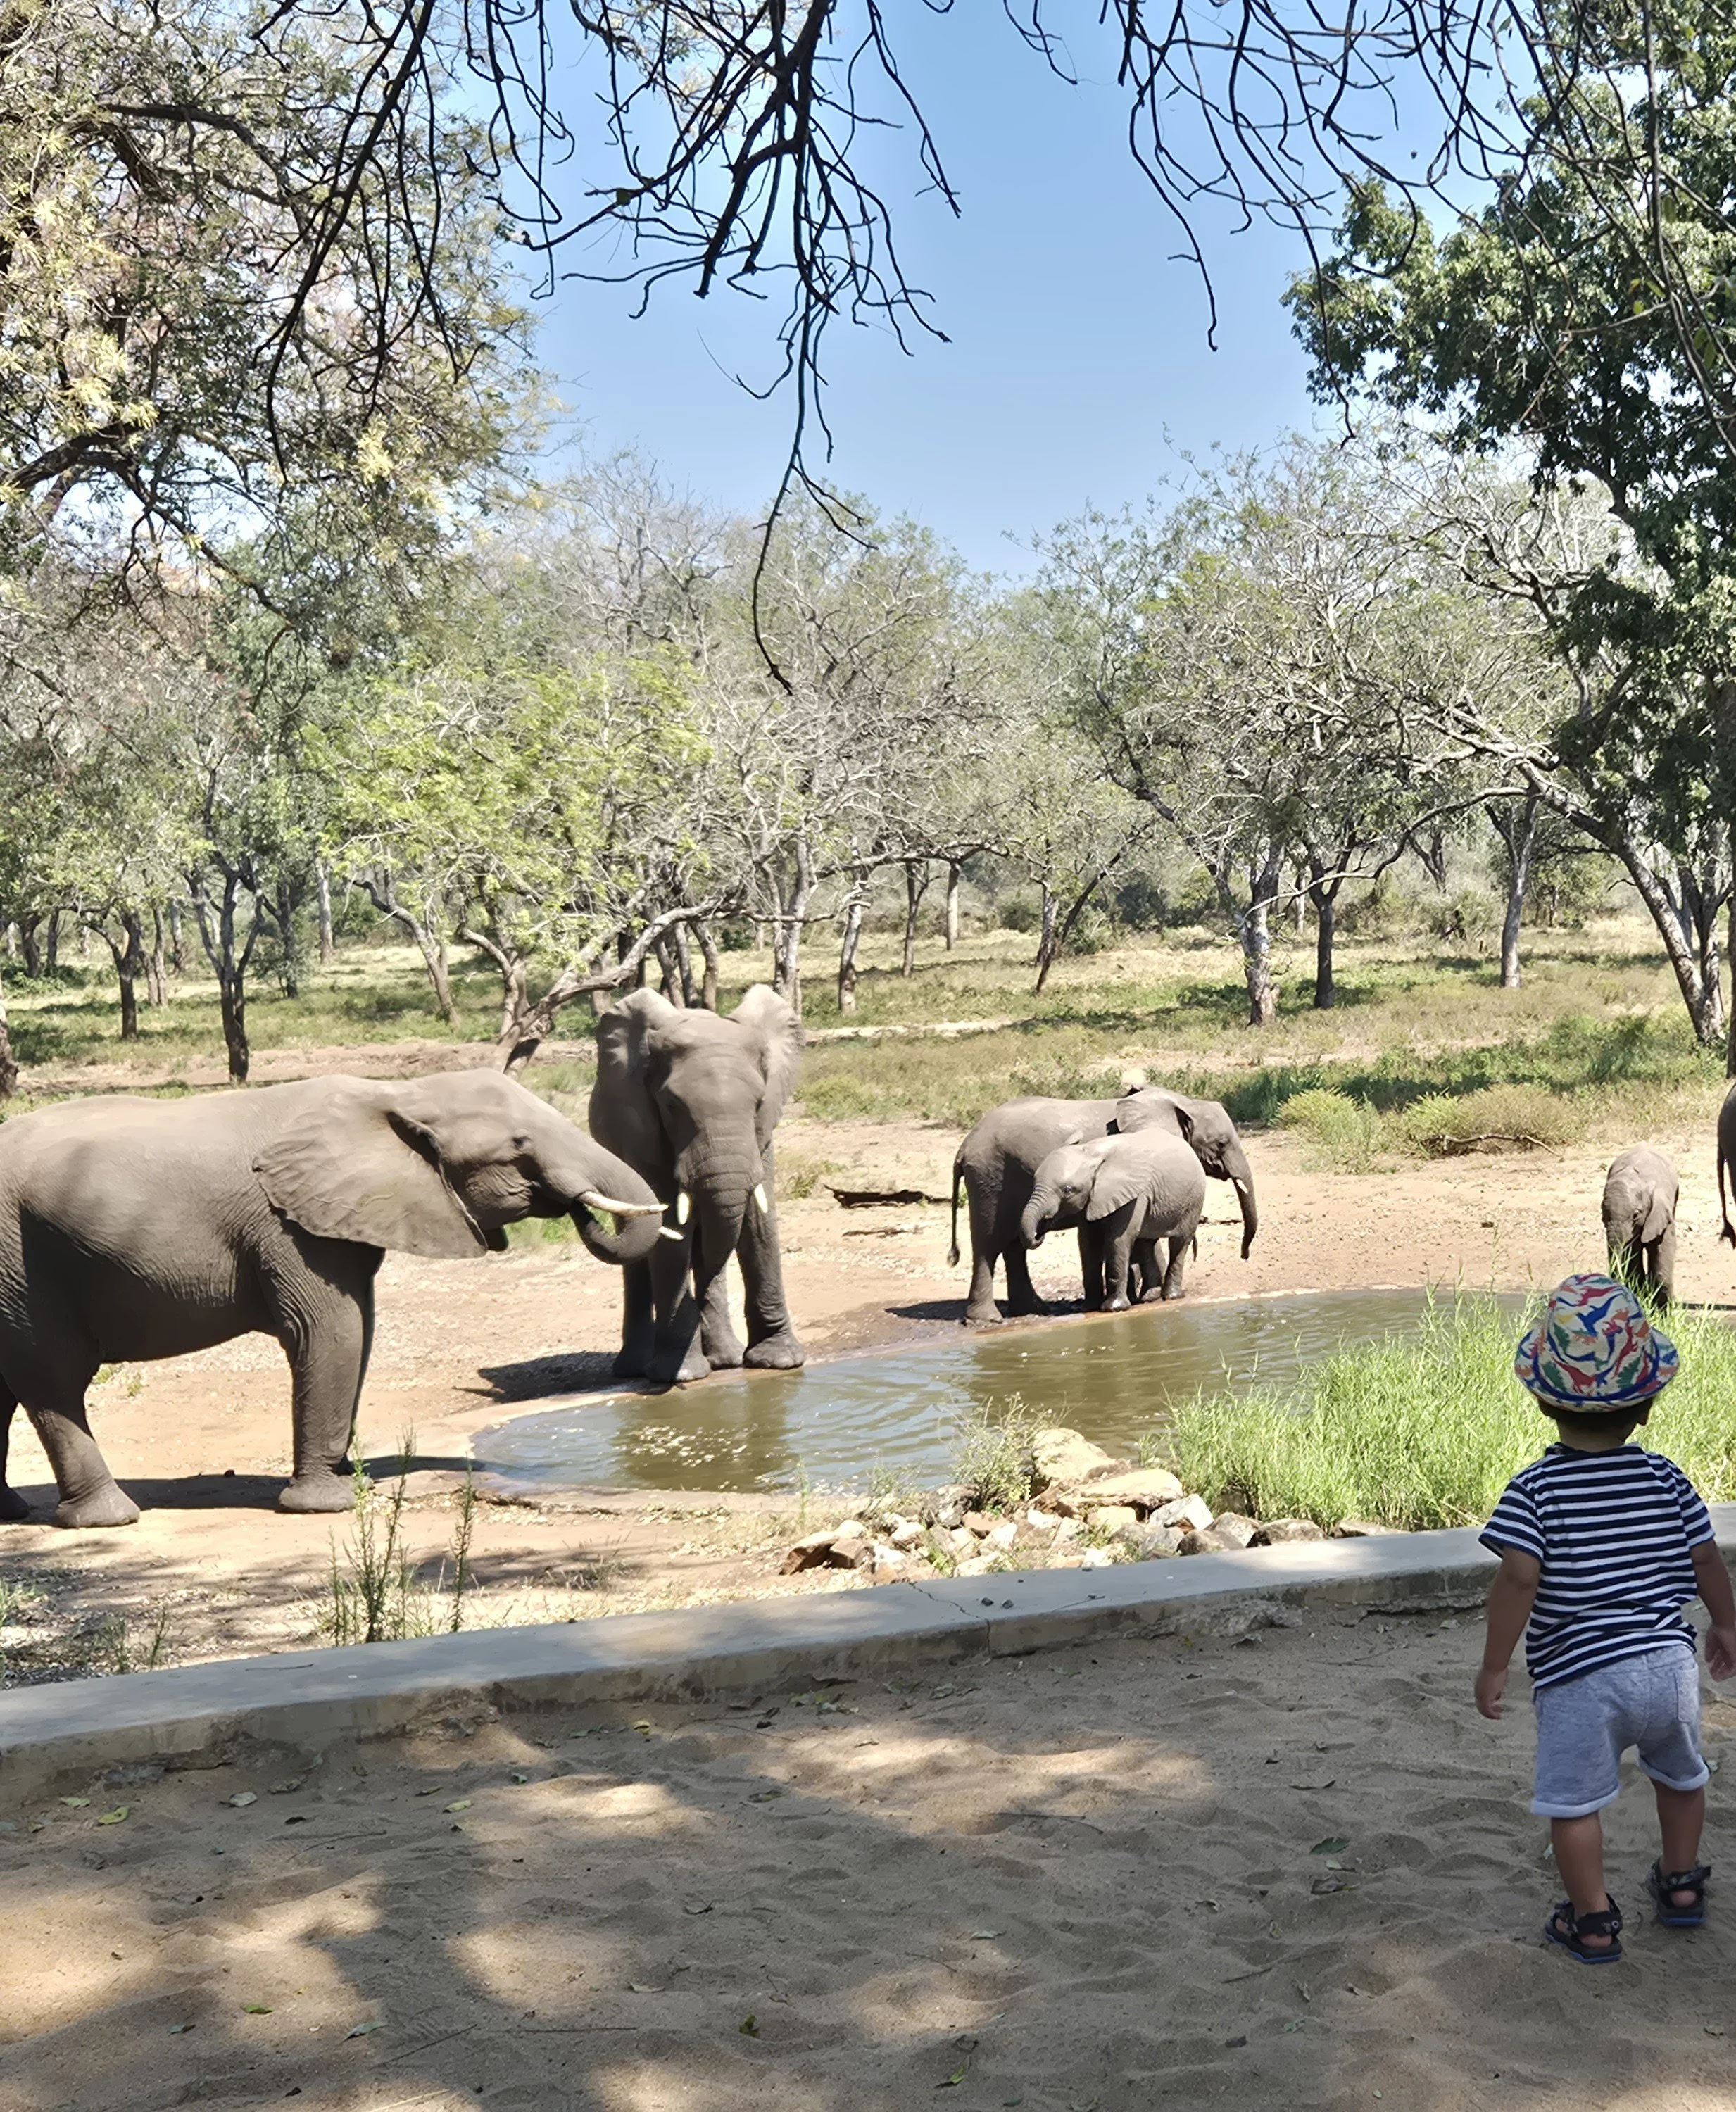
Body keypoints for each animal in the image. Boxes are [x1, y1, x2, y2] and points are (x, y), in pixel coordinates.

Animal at [0, 1071, 666, 1529]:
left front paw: (348, 1472)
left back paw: (14, 1514)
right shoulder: (291, 1227)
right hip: (23, 1260)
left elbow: (361, 1330)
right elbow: (331, 1331)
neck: (397, 1095)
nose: (580, 1208)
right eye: (519, 1146)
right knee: (54, 1381)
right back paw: (107, 1518)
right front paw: (328, 1503)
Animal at [590, 984, 805, 1385]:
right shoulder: (644, 1134)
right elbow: (671, 1232)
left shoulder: (761, 1136)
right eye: (672, 1106)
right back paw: (637, 1368)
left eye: (758, 1103)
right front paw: (682, 1375)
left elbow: (759, 1224)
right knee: (643, 1254)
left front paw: (781, 1362)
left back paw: (725, 1359)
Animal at [1020, 1129, 1207, 1308]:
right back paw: (1149, 1298)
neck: (1091, 1153)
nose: (1041, 1230)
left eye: (1067, 1190)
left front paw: (1113, 1308)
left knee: (1179, 1242)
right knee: (1146, 1245)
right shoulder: (1092, 1199)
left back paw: (1171, 1296)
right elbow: (1088, 1242)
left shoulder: (1133, 1195)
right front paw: (1090, 1307)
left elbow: (1118, 1239)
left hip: (1193, 1199)